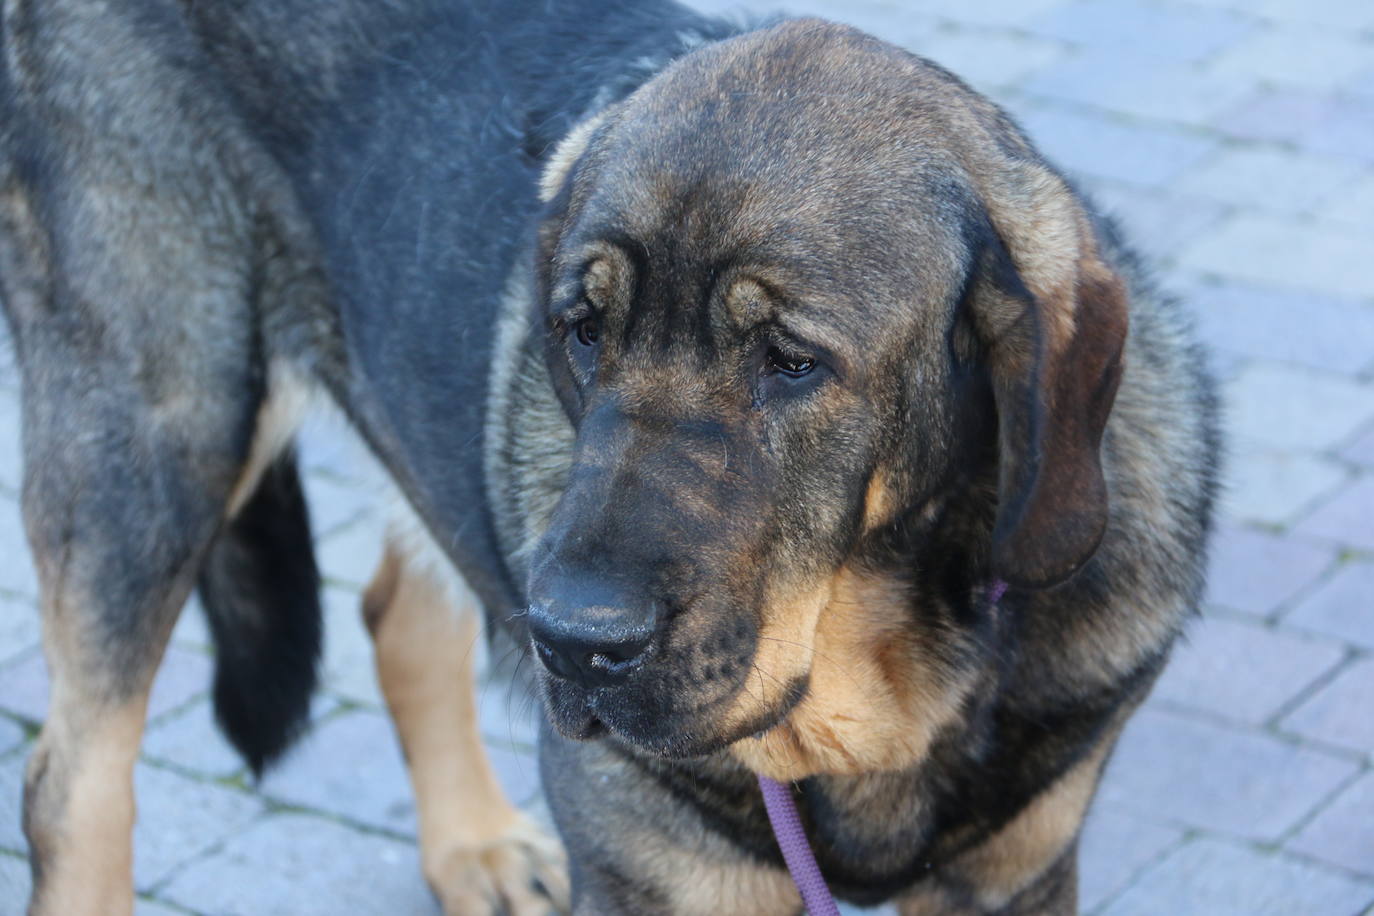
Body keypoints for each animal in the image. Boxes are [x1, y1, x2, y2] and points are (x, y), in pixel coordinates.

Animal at [2, 0, 1225, 911]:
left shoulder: (1023, 870)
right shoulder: (650, 872)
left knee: (400, 612)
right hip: (155, 440)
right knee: (73, 785)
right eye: (584, 332)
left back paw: (476, 847)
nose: (573, 644)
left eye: (790, 361)